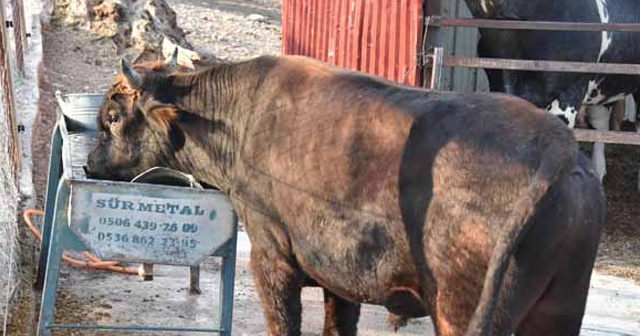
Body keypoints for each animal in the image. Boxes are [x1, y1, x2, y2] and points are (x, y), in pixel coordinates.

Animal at [85, 50, 604, 336]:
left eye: (113, 115)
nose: (90, 162)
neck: (242, 118)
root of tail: (557, 147)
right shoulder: (339, 274)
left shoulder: (272, 259)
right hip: (559, 308)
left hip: (463, 310)